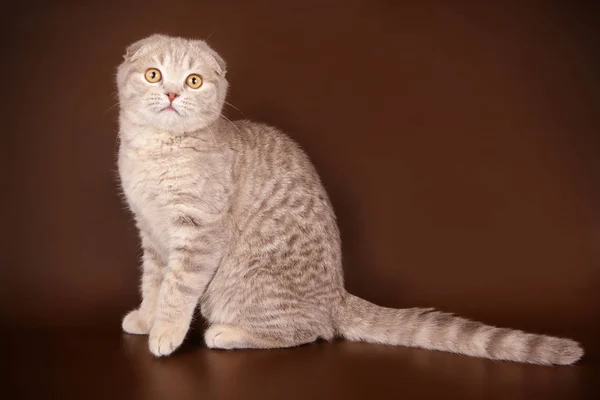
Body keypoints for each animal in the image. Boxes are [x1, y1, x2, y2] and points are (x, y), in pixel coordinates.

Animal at [115, 35, 584, 366]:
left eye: (193, 81)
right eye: (154, 75)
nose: (172, 94)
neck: (158, 152)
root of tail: (336, 296)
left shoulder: (200, 234)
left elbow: (177, 288)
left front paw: (165, 332)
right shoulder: (151, 233)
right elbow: (154, 282)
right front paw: (146, 317)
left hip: (239, 286)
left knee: (311, 332)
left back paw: (227, 334)